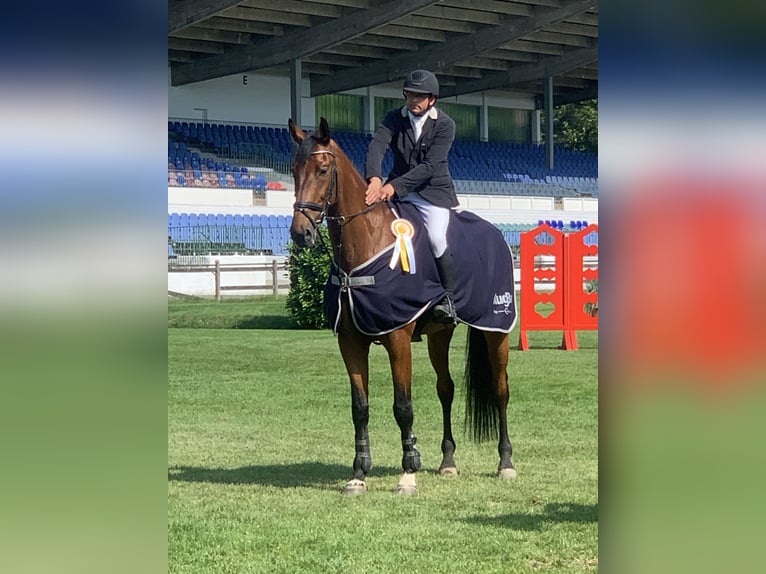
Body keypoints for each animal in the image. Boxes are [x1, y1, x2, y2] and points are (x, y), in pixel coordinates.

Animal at [287, 117, 516, 495]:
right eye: (293, 170)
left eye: (322, 170)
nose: (300, 233)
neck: (366, 243)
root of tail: (496, 234)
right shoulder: (350, 341)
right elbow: (360, 407)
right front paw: (359, 474)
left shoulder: (397, 338)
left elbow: (403, 406)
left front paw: (408, 473)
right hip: (440, 334)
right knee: (446, 389)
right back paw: (448, 462)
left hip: (495, 328)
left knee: (500, 391)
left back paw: (506, 463)